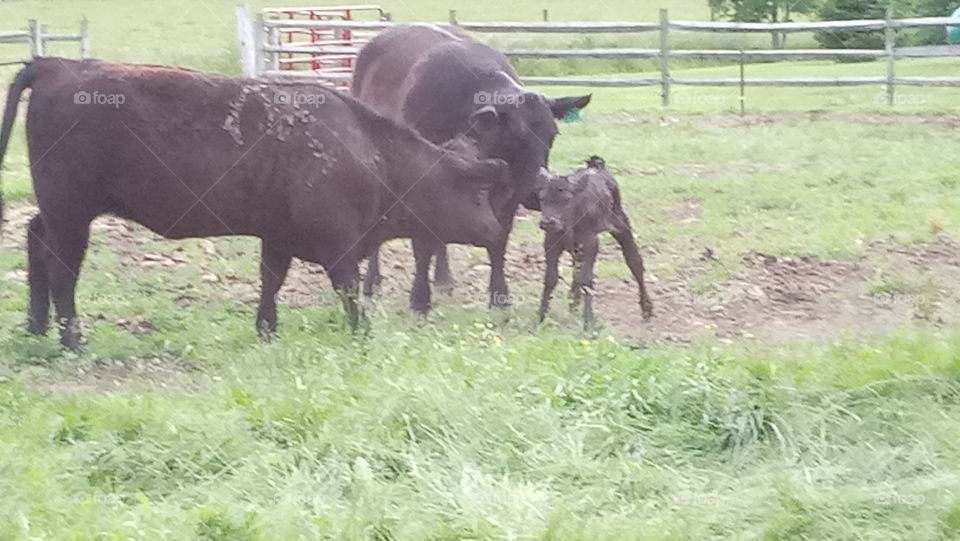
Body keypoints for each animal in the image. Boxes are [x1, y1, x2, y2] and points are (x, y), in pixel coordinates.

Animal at [0, 58, 508, 349]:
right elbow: (347, 288)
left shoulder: (278, 235)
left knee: (35, 242)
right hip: (72, 215)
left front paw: (266, 330)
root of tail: (57, 64)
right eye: (477, 191)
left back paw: (36, 325)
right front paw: (361, 333)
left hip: (58, 212)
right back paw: (71, 339)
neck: (369, 149)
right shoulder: (339, 243)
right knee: (63, 270)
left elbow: (271, 282)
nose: (494, 230)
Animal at [351, 24, 592, 313]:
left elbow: (498, 241)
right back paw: (372, 281)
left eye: (552, 135)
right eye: (514, 136)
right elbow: (422, 244)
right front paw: (419, 299)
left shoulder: (508, 195)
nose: (536, 193)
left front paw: (500, 297)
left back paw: (443, 278)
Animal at [537, 156, 654, 331]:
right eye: (542, 198)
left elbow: (587, 279)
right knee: (576, 267)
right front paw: (541, 317)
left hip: (621, 226)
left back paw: (646, 308)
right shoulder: (551, 241)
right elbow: (551, 277)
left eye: (567, 199)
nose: (548, 222)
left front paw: (589, 323)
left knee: (635, 262)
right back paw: (573, 300)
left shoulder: (590, 241)